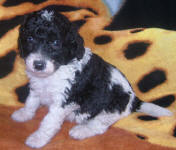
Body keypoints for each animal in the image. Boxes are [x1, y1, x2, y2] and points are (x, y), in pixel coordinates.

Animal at [11, 6, 173, 148]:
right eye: (30, 39)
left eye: (55, 43)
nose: (38, 64)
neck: (54, 71)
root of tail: (134, 100)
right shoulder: (36, 87)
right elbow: (31, 102)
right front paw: (24, 114)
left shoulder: (63, 101)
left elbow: (49, 121)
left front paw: (38, 138)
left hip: (111, 108)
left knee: (99, 126)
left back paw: (81, 130)